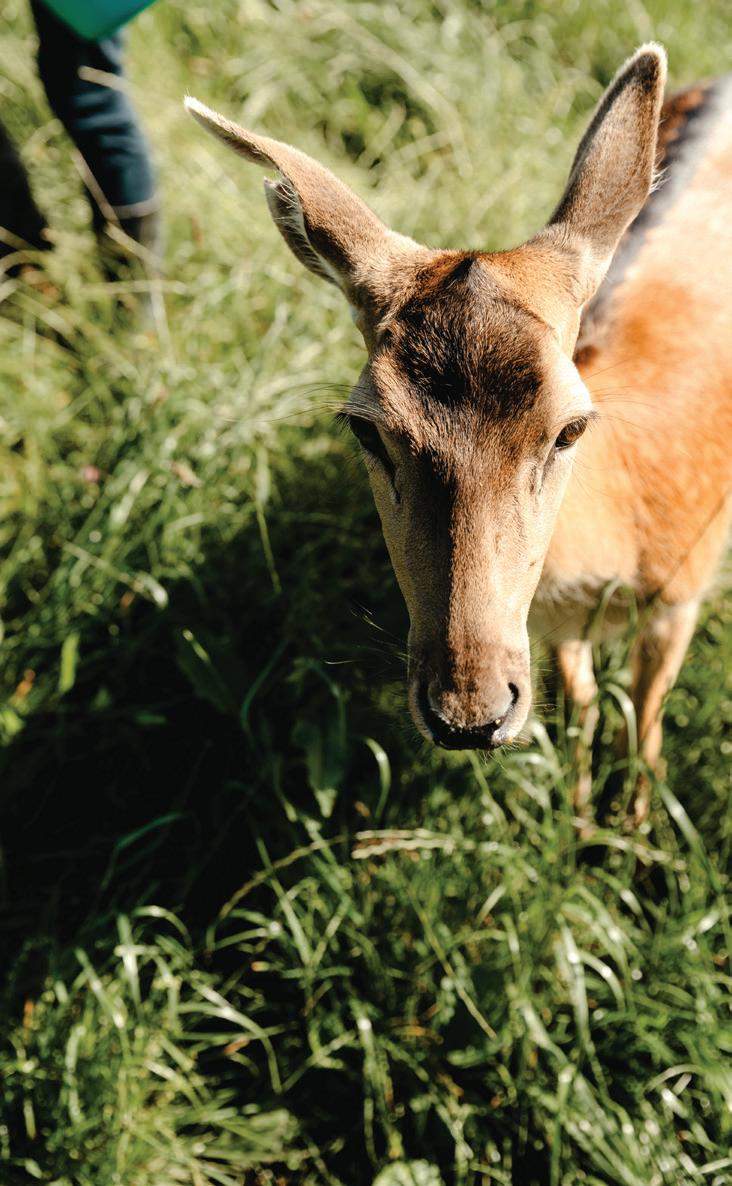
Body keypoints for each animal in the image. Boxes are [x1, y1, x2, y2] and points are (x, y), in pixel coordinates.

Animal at [185, 44, 732, 825]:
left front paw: (633, 832)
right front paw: (577, 816)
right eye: (366, 428)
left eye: (570, 427)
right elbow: (586, 706)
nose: (470, 714)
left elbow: (645, 725)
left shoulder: (682, 587)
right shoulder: (555, 622)